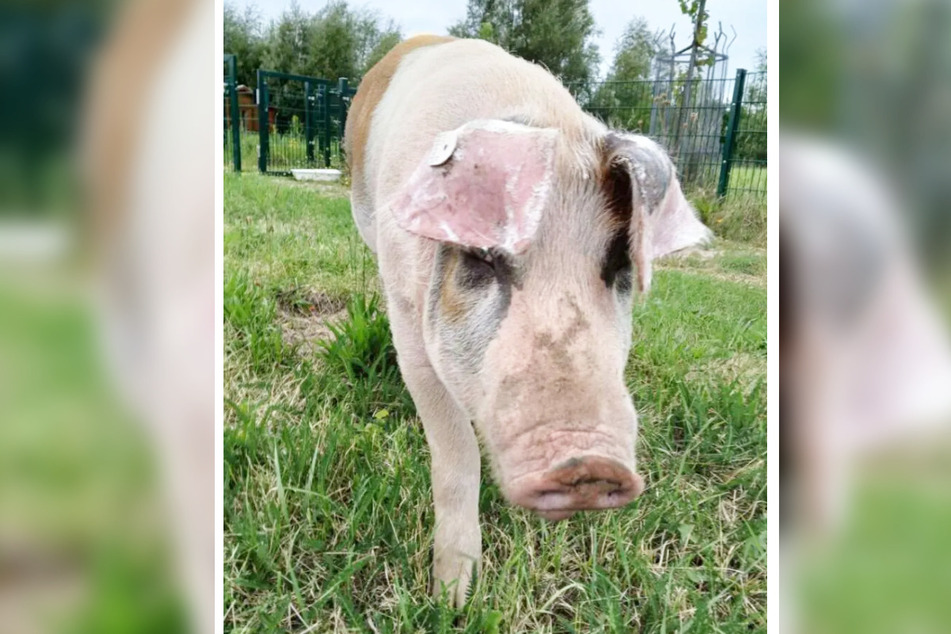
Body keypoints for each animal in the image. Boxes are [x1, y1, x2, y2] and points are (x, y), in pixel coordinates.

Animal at [346, 35, 712, 608]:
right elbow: (455, 451)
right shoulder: (407, 315)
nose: (589, 462)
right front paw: (452, 599)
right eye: (481, 257)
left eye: (618, 266)